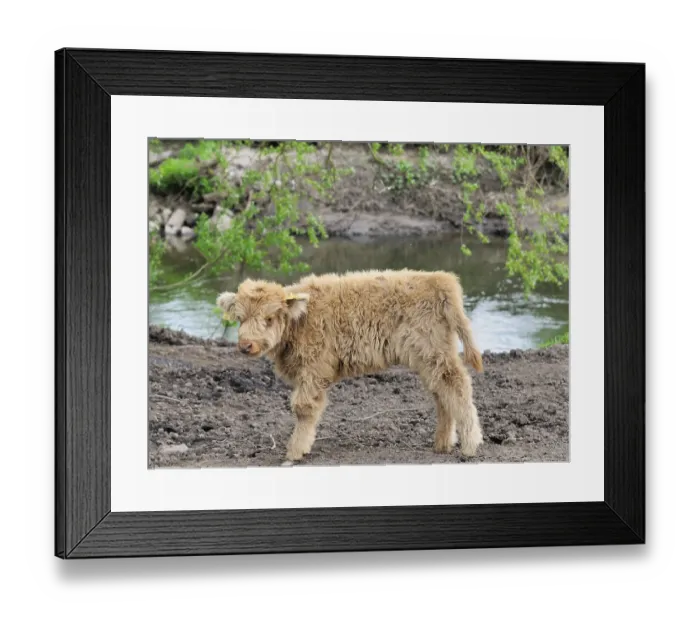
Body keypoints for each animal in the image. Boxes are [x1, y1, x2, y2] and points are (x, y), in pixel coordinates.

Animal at [216, 269, 484, 465]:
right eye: (240, 318)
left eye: (269, 318)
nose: (246, 345)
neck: (300, 323)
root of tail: (439, 278)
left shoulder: (314, 370)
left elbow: (303, 408)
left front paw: (294, 452)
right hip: (431, 357)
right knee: (442, 394)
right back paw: (442, 443)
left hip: (433, 352)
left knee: (457, 387)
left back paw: (470, 445)